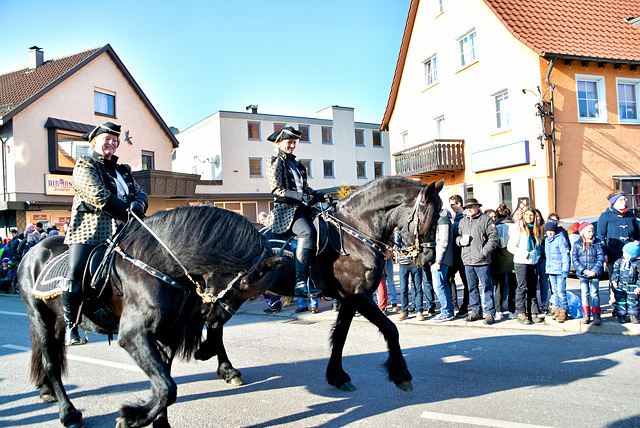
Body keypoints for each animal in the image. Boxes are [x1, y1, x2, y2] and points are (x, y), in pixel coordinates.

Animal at [18, 206, 284, 426]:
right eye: (244, 285)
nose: (213, 318)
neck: (159, 264)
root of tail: (32, 252)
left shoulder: (167, 335)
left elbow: (164, 382)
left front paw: (156, 421)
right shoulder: (133, 335)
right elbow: (167, 387)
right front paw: (132, 417)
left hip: (56, 322)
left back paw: (47, 391)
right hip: (40, 318)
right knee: (51, 363)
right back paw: (69, 413)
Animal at [198, 176, 442, 392]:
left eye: (441, 215)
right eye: (428, 217)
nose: (429, 259)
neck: (355, 231)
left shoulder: (348, 299)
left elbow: (340, 335)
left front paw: (337, 376)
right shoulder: (358, 296)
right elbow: (390, 329)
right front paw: (401, 374)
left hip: (233, 294)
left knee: (214, 321)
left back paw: (221, 364)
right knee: (213, 321)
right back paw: (226, 368)